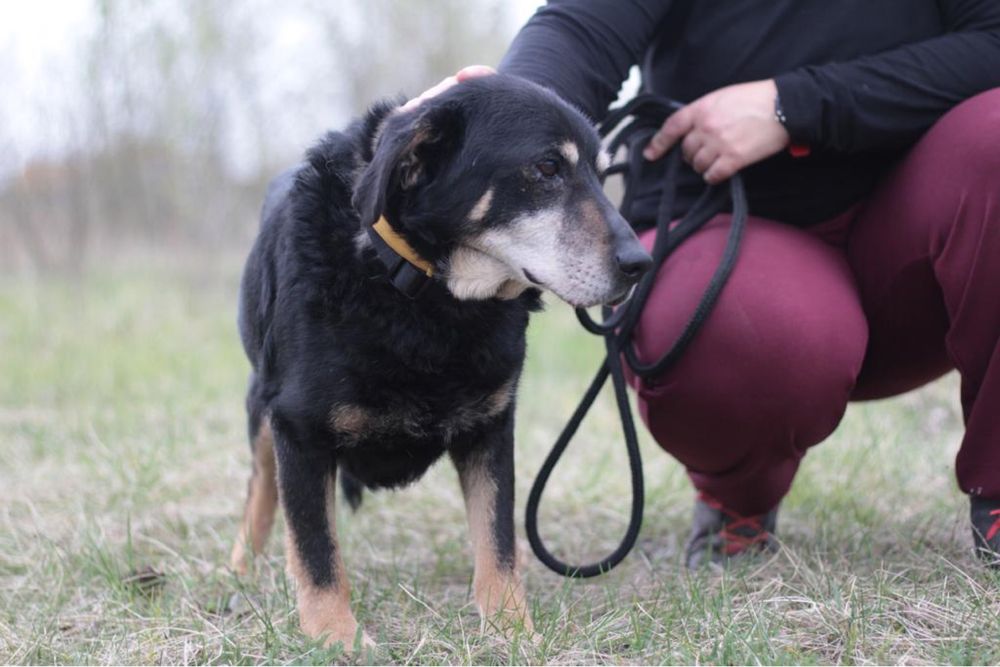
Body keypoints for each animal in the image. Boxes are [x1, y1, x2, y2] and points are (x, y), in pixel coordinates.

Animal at [230, 75, 652, 648]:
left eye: (602, 172)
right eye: (546, 168)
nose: (640, 263)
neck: (422, 291)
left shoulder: (491, 428)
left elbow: (496, 537)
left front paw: (511, 628)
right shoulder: (299, 427)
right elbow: (316, 550)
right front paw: (335, 637)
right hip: (262, 409)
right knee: (260, 493)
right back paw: (241, 573)